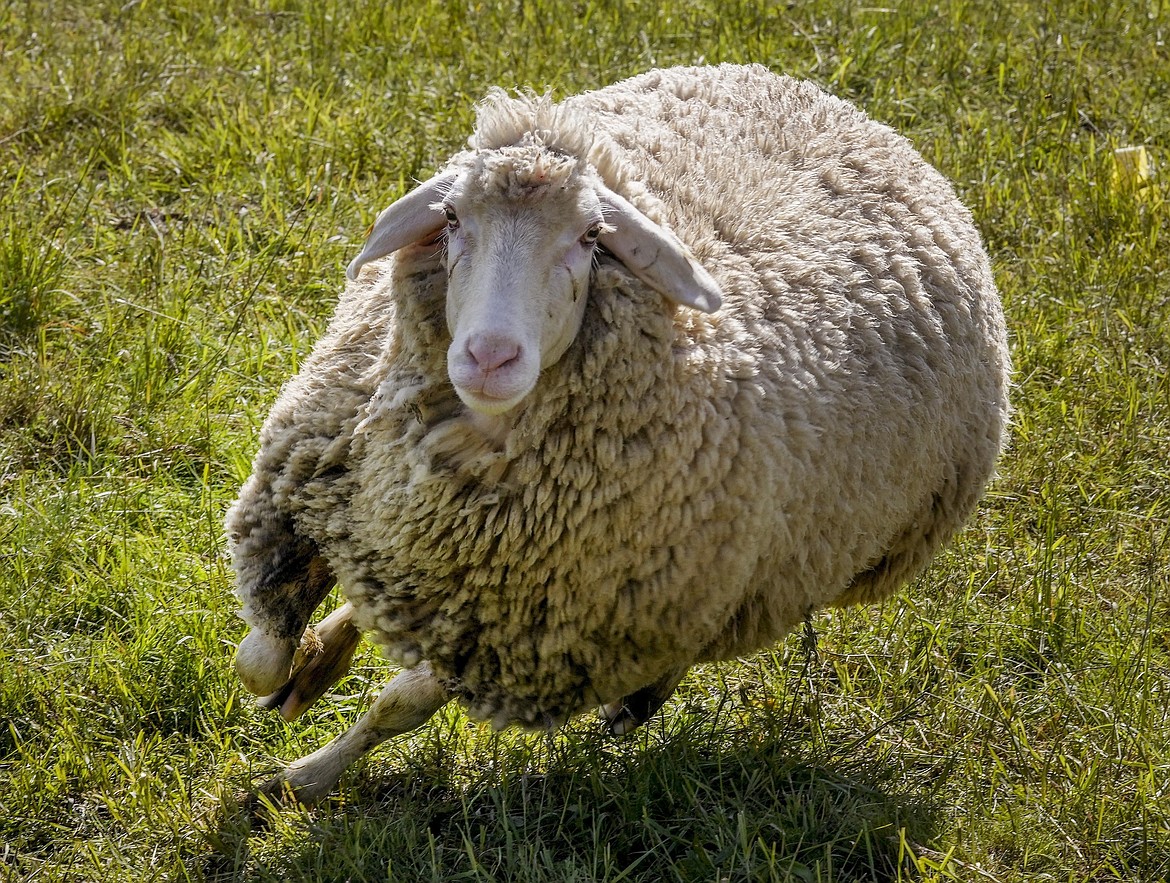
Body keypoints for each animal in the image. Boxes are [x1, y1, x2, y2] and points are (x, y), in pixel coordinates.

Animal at [223, 64, 1010, 809]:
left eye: (590, 237)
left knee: (695, 641)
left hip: (752, 578)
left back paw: (636, 704)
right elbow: (258, 660)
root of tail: (864, 121)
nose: (489, 356)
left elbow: (397, 705)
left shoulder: (534, 635)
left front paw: (299, 782)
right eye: (450, 219)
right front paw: (301, 678)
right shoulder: (302, 492)